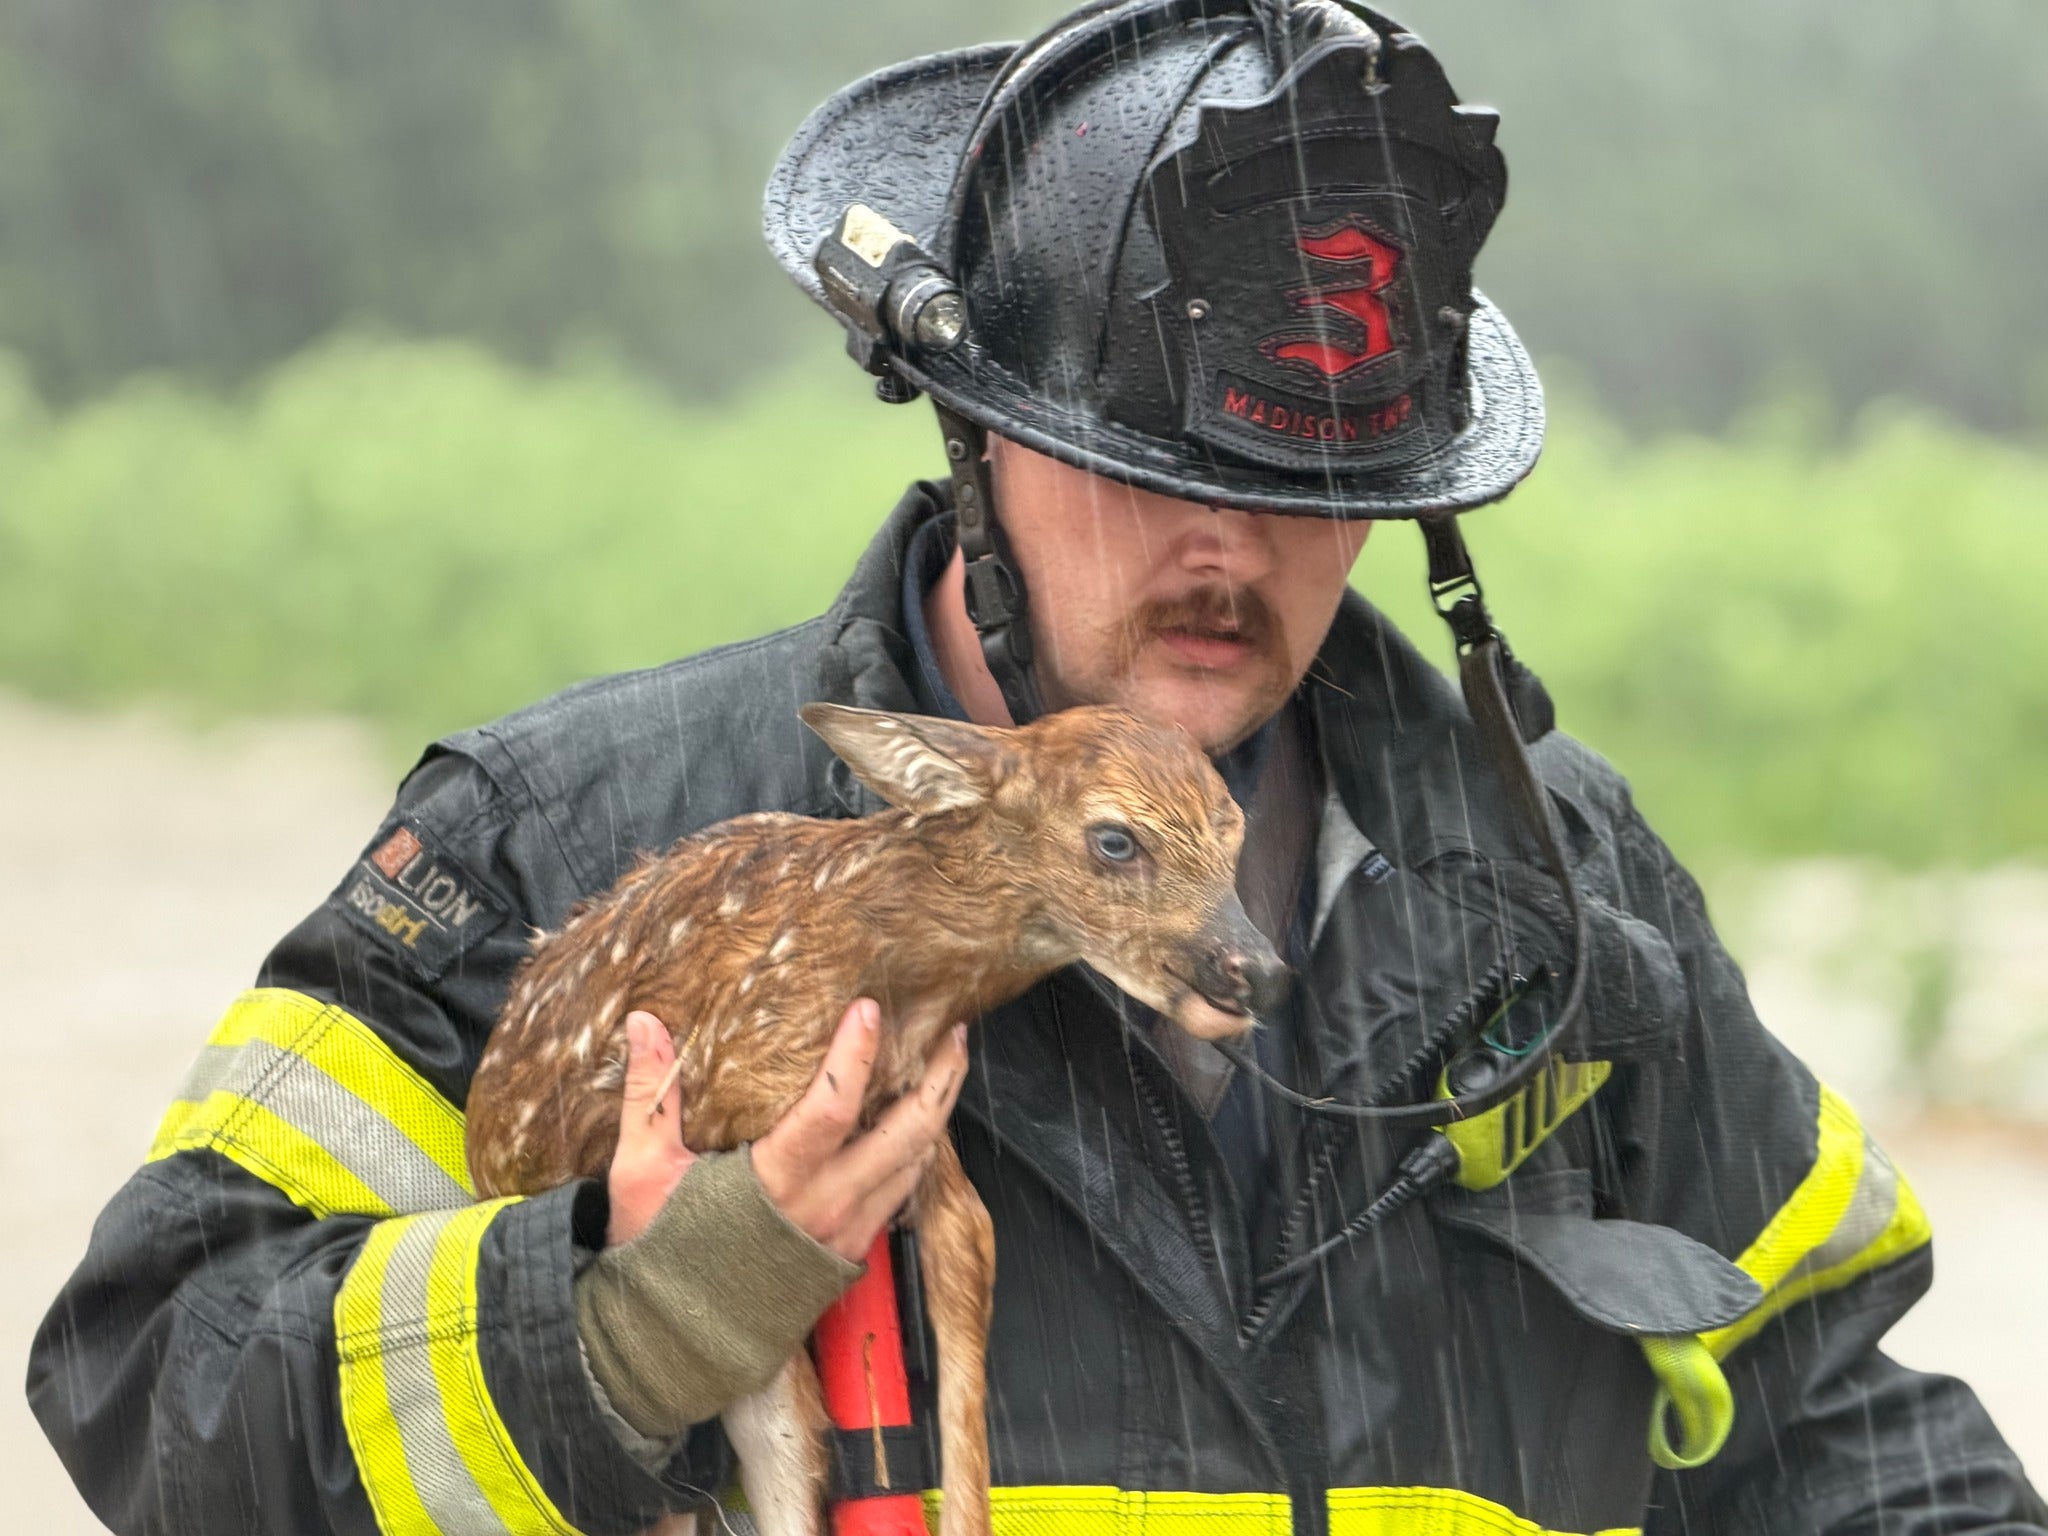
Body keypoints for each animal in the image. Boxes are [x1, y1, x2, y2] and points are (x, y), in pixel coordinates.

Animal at [465, 702, 1287, 1536]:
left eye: (1234, 832)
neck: (890, 959)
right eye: (1116, 839)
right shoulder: (739, 1083)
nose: (1258, 971)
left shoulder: (908, 1103)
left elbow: (969, 1248)